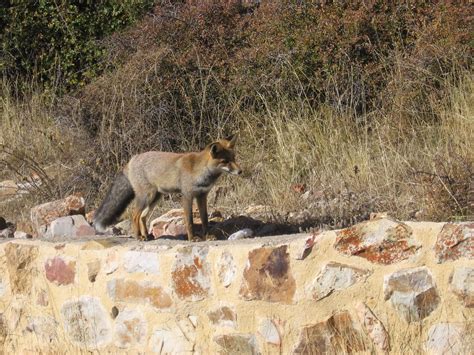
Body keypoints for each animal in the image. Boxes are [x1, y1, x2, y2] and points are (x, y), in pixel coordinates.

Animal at [93, 134, 243, 242]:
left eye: (234, 158)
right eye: (225, 161)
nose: (240, 171)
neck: (200, 170)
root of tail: (131, 160)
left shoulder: (202, 196)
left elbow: (205, 220)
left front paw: (207, 236)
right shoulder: (187, 196)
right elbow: (189, 221)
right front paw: (192, 238)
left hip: (155, 198)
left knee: (142, 217)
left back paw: (147, 236)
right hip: (146, 197)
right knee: (135, 216)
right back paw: (138, 237)